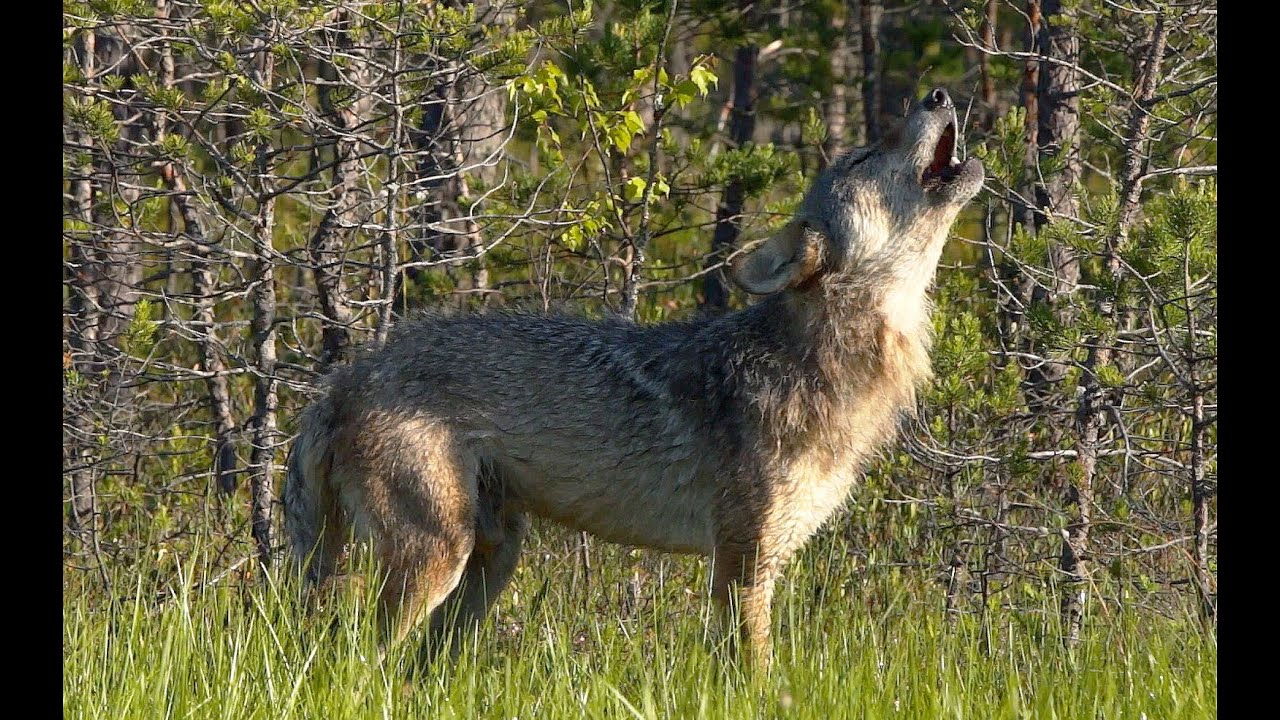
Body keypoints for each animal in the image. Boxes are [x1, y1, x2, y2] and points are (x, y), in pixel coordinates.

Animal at [290, 88, 983, 666]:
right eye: (868, 152)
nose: (938, 94)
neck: (823, 362)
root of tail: (344, 380)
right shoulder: (743, 562)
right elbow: (756, 677)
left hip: (492, 560)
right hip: (436, 558)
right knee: (357, 659)